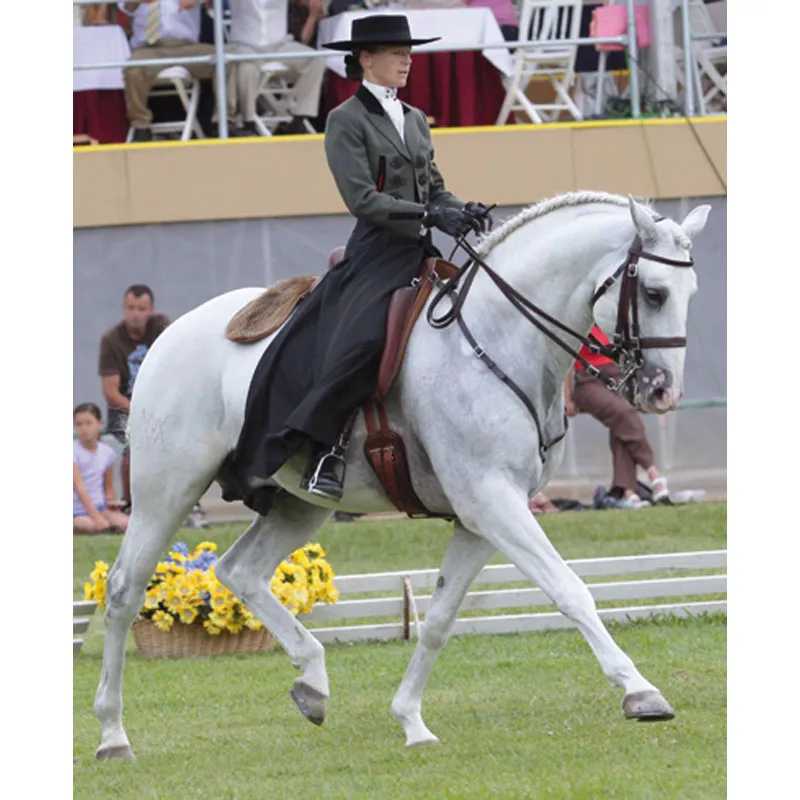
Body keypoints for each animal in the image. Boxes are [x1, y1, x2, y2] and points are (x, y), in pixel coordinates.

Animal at [93, 191, 710, 759]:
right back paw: (113, 734)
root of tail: (170, 334)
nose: (662, 392)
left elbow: (438, 618)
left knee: (239, 570)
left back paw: (312, 682)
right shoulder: (493, 500)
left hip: (298, 505)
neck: (498, 339)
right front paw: (640, 692)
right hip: (167, 490)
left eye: (690, 294)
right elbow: (570, 589)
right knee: (125, 591)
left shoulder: (480, 518)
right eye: (654, 293)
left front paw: (411, 721)